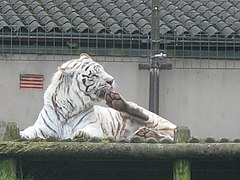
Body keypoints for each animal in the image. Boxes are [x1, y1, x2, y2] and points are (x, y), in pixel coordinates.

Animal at [20, 53, 176, 141]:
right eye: (94, 75)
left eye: (103, 70)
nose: (111, 80)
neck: (68, 107)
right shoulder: (42, 127)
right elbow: (31, 130)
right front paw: (23, 134)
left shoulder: (94, 127)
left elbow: (86, 130)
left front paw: (81, 133)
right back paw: (144, 133)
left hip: (157, 120)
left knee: (155, 123)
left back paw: (118, 103)